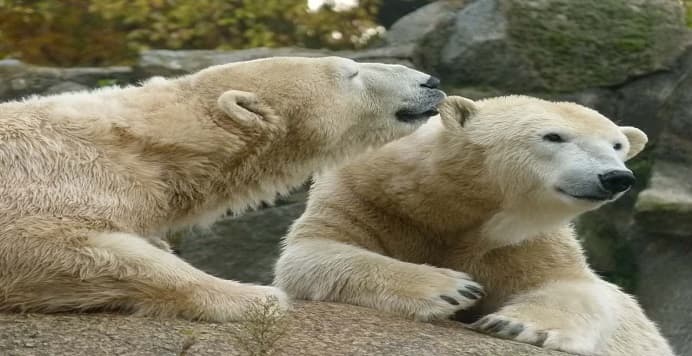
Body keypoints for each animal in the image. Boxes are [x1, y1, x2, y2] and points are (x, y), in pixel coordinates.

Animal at [274, 96, 672, 354]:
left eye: (617, 145)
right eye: (554, 136)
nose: (615, 177)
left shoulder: (524, 240)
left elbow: (572, 287)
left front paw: (512, 324)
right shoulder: (365, 195)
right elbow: (314, 253)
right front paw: (452, 289)